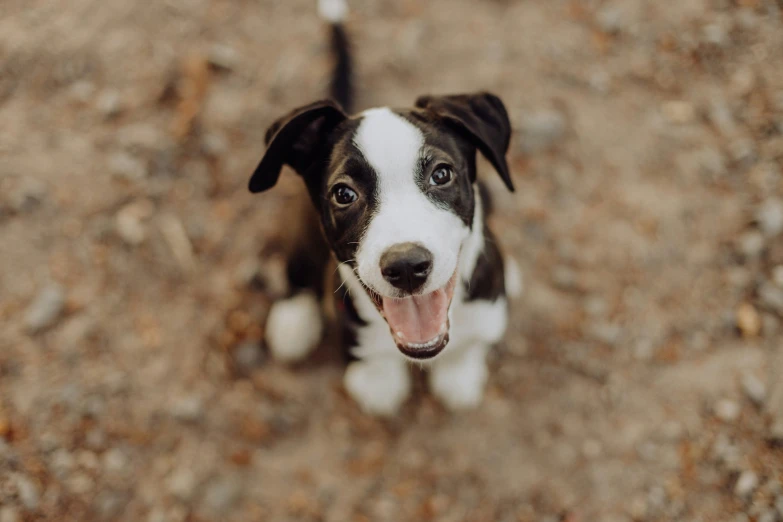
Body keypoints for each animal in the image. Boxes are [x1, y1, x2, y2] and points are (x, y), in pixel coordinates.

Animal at [251, 0, 520, 414]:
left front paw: (458, 376)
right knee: (297, 271)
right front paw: (378, 383)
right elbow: (371, 360)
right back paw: (294, 321)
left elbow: (470, 345)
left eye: (442, 174)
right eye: (343, 194)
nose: (407, 266)